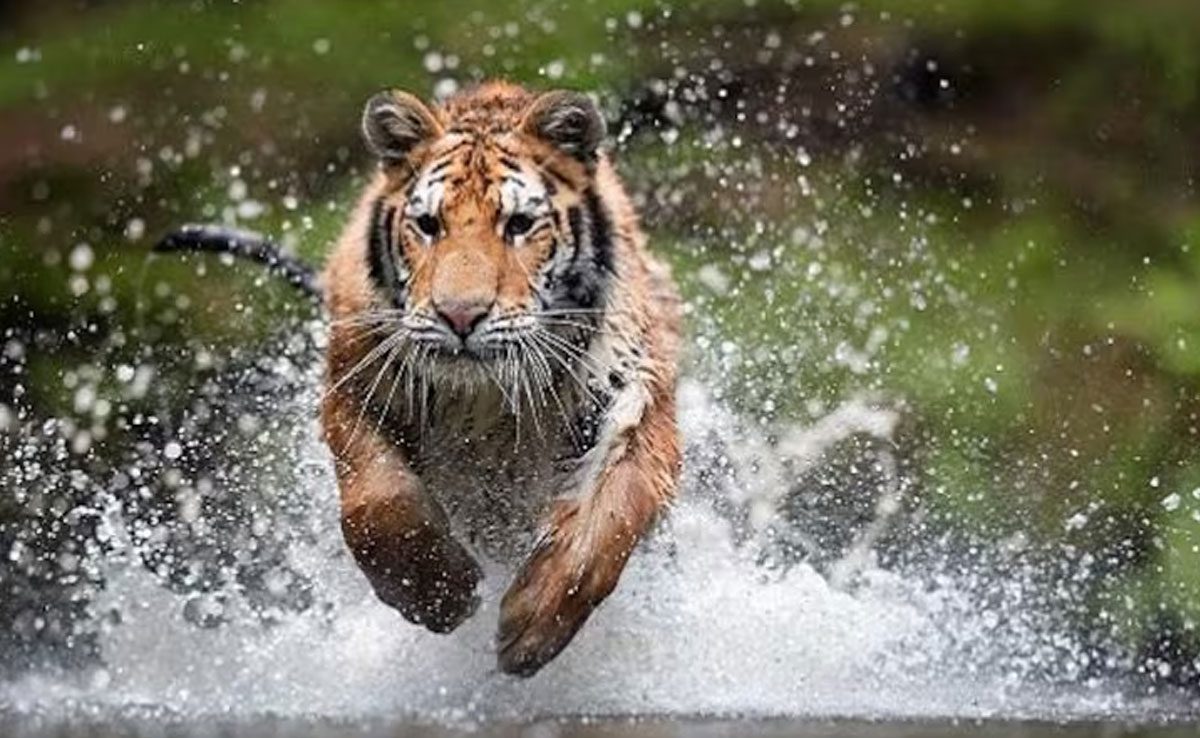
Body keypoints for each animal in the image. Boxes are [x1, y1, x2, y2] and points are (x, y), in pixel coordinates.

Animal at [317, 81, 682, 677]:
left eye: (518, 225)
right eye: (428, 225)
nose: (460, 315)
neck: (483, 401)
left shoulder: (636, 398)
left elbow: (607, 519)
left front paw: (530, 628)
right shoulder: (354, 383)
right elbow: (376, 506)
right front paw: (439, 594)